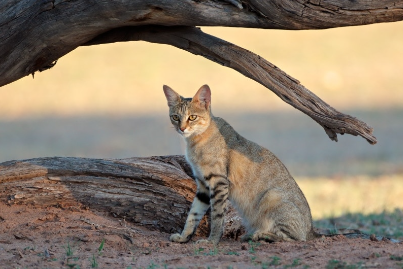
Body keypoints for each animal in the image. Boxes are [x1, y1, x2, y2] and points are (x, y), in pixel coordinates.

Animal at [163, 85, 318, 244]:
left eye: (192, 117)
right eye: (175, 117)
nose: (182, 129)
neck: (194, 142)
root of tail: (311, 231)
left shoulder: (218, 182)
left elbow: (217, 216)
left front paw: (212, 240)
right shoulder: (203, 185)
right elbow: (193, 214)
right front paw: (184, 237)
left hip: (272, 196)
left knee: (295, 239)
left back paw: (259, 235)